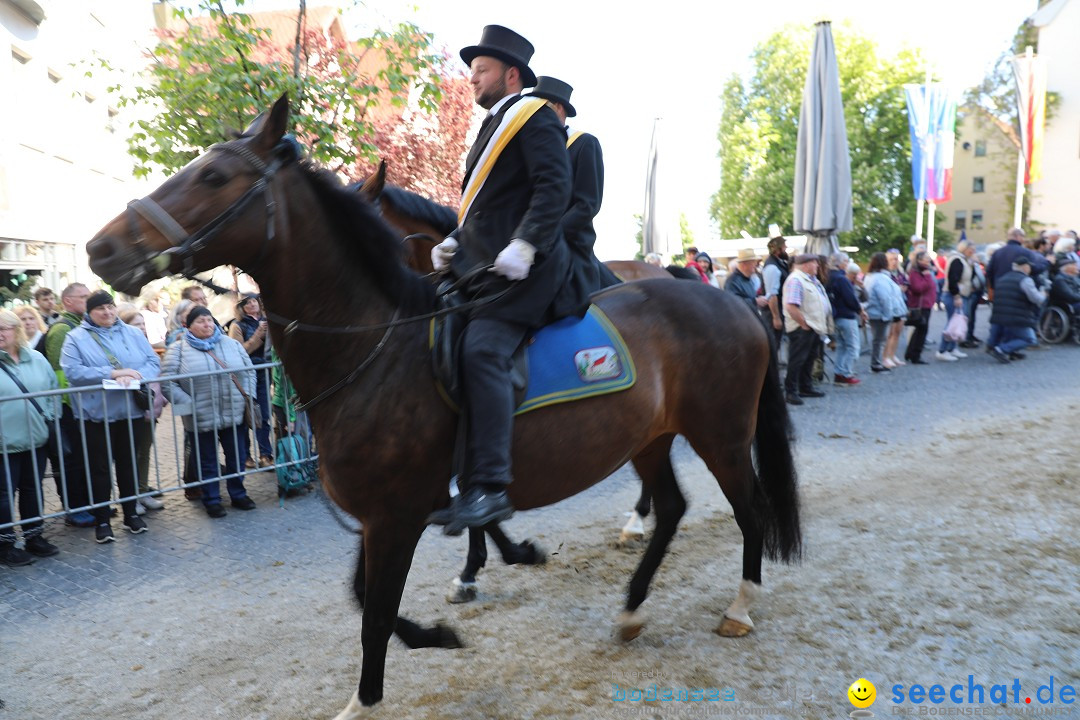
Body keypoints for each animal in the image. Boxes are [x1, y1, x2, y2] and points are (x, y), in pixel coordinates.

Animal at [86, 95, 803, 716]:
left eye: (213, 174)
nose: (101, 248)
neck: (375, 345)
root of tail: (730, 299)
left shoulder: (397, 514)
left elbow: (375, 611)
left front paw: (367, 699)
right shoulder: (383, 514)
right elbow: (365, 597)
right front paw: (442, 627)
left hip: (721, 433)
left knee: (749, 508)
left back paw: (740, 606)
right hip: (650, 437)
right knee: (674, 506)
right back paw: (631, 607)